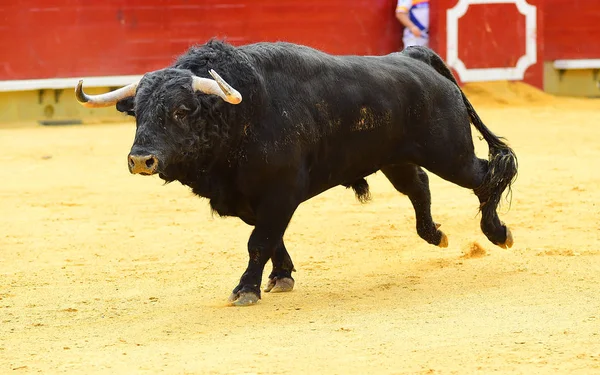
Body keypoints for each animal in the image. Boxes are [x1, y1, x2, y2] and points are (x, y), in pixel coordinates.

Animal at [75, 40, 516, 306]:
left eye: (183, 110)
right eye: (138, 113)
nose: (140, 160)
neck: (240, 115)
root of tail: (411, 57)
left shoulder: (281, 191)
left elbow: (259, 241)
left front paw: (246, 290)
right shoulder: (249, 199)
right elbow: (272, 239)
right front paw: (281, 276)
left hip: (450, 154)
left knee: (487, 175)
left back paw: (497, 233)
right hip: (397, 159)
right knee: (419, 186)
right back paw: (436, 234)